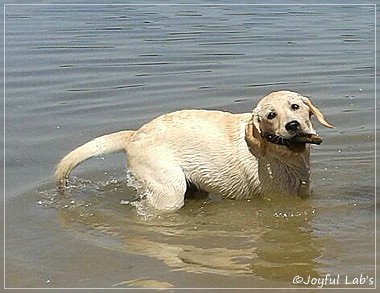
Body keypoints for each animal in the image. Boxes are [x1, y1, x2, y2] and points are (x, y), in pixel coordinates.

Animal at [55, 89, 332, 210]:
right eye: (271, 115)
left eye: (295, 106)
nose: (293, 125)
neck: (286, 154)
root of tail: (134, 134)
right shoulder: (279, 197)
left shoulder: (304, 194)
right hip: (169, 190)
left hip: (195, 188)